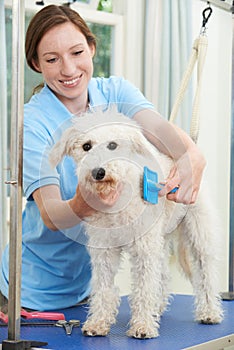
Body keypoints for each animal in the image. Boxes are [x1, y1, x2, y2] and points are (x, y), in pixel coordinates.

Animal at [49, 110, 223, 340]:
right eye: (86, 146)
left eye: (113, 145)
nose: (98, 172)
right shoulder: (104, 251)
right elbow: (104, 289)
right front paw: (98, 322)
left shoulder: (144, 249)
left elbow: (144, 287)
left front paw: (143, 326)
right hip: (161, 240)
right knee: (163, 274)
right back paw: (158, 306)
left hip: (199, 235)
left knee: (206, 275)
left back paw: (209, 312)